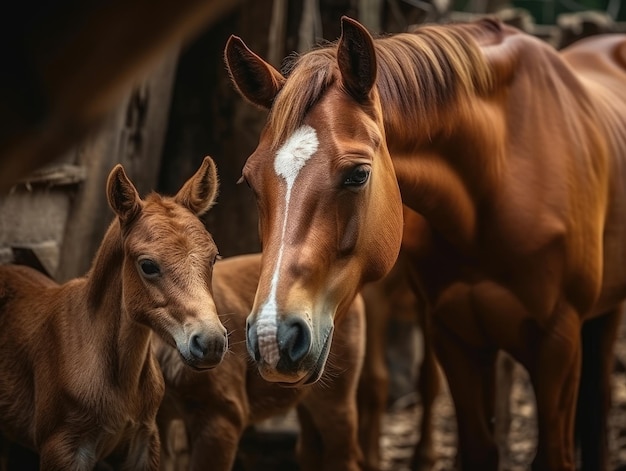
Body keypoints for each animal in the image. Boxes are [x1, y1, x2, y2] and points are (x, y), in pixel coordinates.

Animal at [224, 15, 624, 471]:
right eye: (249, 181)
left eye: (358, 175)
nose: (273, 337)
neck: (500, 173)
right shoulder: (453, 335)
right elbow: (477, 446)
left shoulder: (557, 341)